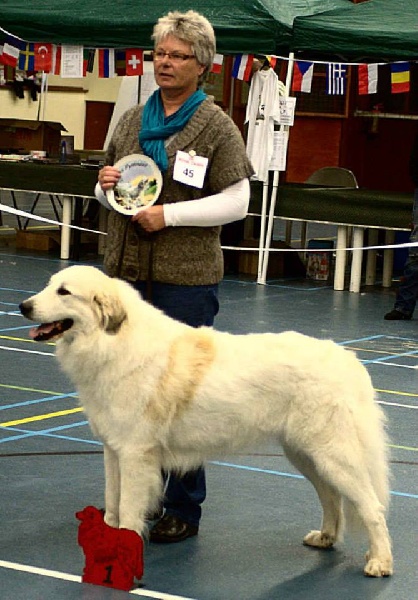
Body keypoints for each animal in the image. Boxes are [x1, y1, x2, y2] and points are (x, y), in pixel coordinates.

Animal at [20, 265, 393, 577]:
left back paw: (380, 562)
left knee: (372, 508)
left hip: (333, 456)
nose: (24, 306)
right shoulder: (113, 451)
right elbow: (113, 503)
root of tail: (347, 359)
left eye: (64, 292)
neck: (111, 342)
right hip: (306, 455)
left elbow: (127, 509)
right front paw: (109, 543)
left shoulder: (134, 454)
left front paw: (123, 551)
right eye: (49, 285)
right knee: (331, 497)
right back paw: (326, 537)